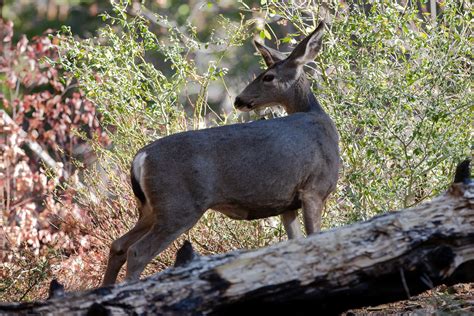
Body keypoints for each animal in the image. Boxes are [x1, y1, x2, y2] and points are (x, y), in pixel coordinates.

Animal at [103, 21, 340, 286]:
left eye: (268, 76)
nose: (239, 100)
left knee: (118, 245)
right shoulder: (314, 188)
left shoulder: (286, 203)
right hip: (178, 205)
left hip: (150, 208)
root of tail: (140, 159)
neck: (318, 118)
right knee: (137, 251)